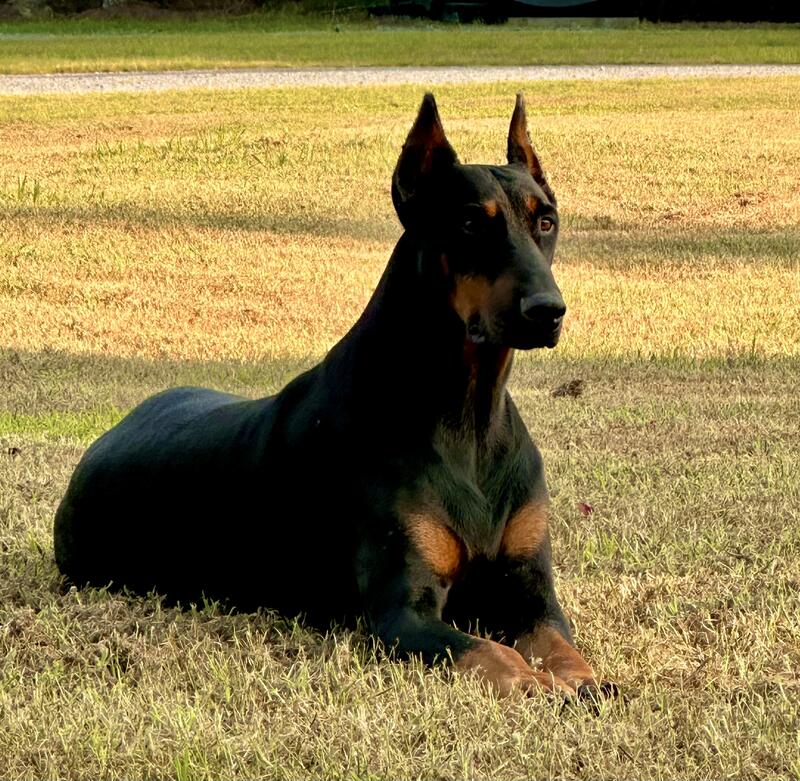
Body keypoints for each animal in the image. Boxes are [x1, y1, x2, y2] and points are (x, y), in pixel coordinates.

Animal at [54, 94, 610, 699]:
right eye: (468, 223)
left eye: (546, 220)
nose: (547, 310)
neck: (468, 411)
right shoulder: (401, 613)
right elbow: (494, 654)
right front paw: (538, 685)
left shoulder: (531, 593)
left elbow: (560, 643)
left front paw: (583, 680)